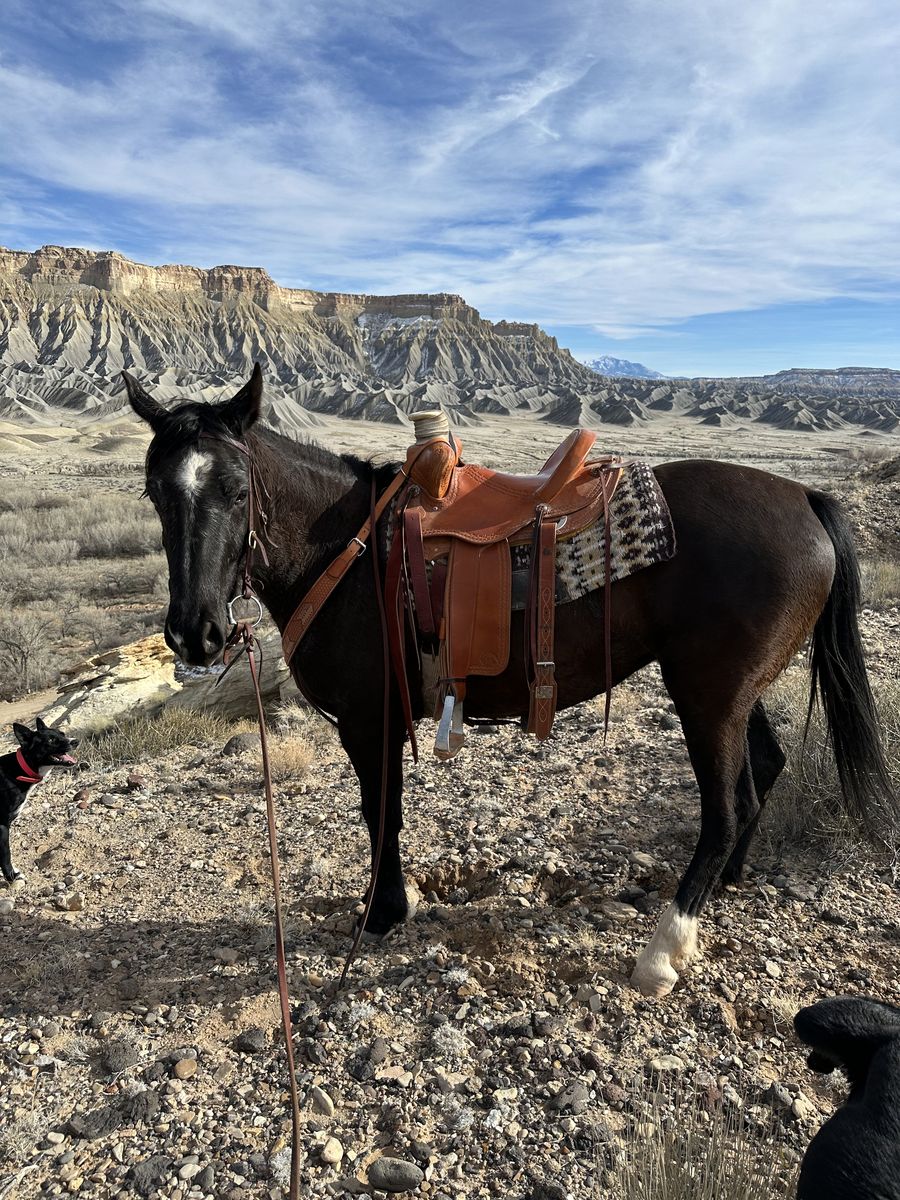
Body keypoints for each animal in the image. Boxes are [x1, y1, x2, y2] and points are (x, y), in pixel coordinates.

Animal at [123, 365, 896, 998]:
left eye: (236, 490)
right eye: (155, 492)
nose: (195, 632)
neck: (347, 551)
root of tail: (804, 496)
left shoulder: (370, 720)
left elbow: (380, 814)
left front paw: (383, 914)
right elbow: (383, 814)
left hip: (709, 694)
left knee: (725, 806)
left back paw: (665, 949)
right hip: (733, 690)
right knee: (764, 770)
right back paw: (727, 886)